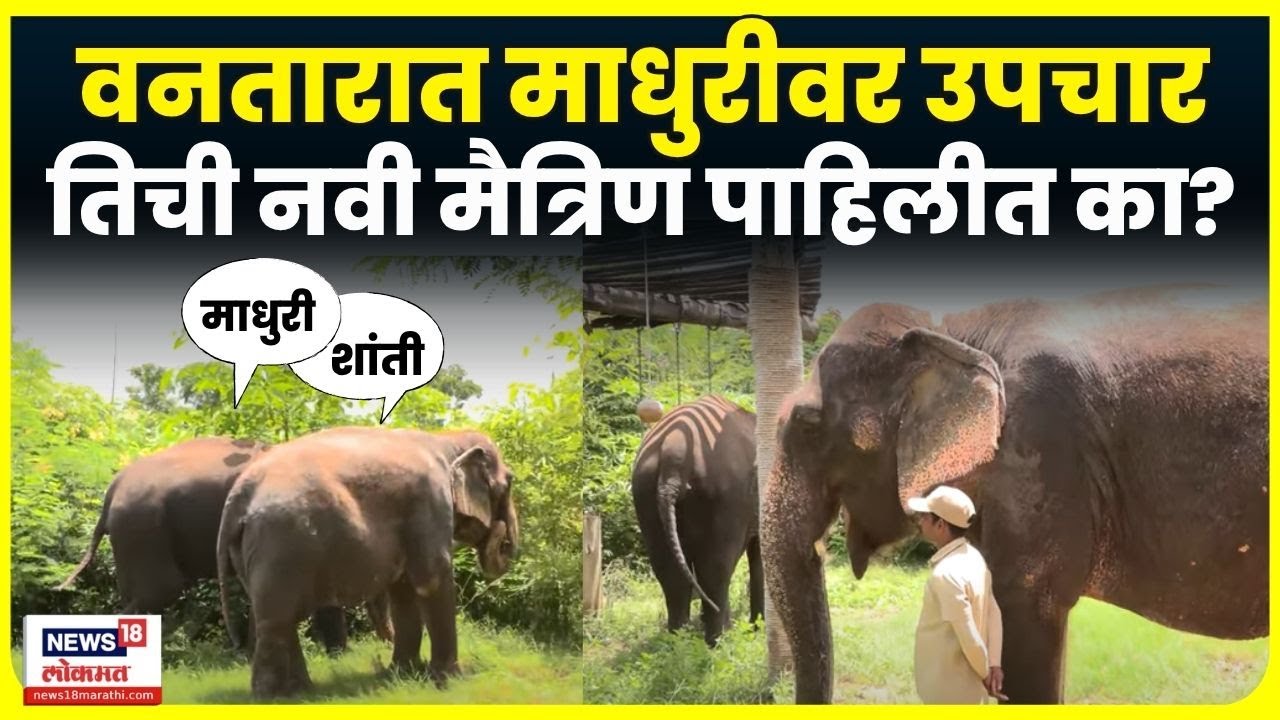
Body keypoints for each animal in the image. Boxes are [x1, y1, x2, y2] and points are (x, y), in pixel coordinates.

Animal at [216, 426, 520, 698]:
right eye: (510, 483)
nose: (502, 534)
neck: (446, 439)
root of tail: (237, 498)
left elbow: (403, 590)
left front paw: (403, 674)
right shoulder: (431, 502)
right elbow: (431, 579)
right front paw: (450, 680)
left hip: (251, 550)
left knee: (281, 617)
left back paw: (301, 692)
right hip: (281, 544)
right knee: (277, 619)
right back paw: (272, 698)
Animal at [631, 395, 762, 645]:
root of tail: (673, 452)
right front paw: (756, 630)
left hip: (644, 490)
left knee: (669, 573)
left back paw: (678, 643)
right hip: (724, 493)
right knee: (716, 569)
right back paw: (716, 642)